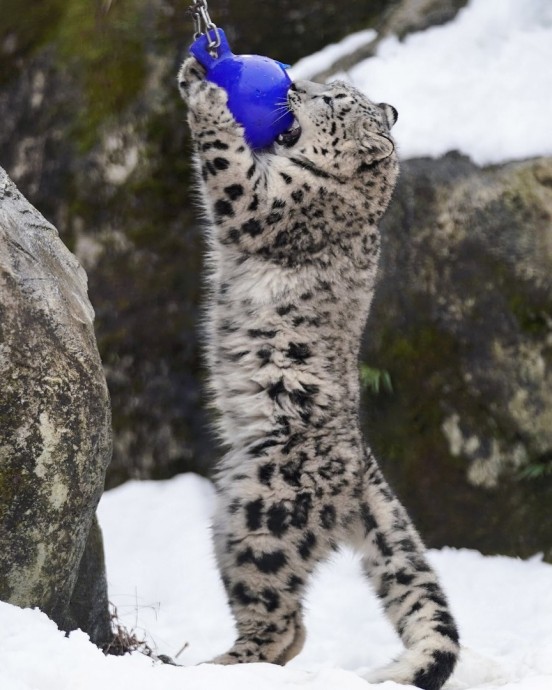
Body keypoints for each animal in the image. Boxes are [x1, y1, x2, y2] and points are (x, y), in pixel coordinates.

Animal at [179, 56, 460, 688]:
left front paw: (209, 99)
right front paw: (191, 72)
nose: (295, 83)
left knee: (278, 618)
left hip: (261, 510)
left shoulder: (266, 208)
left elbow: (228, 167)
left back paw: (208, 665)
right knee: (291, 627)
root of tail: (361, 465)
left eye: (330, 102)